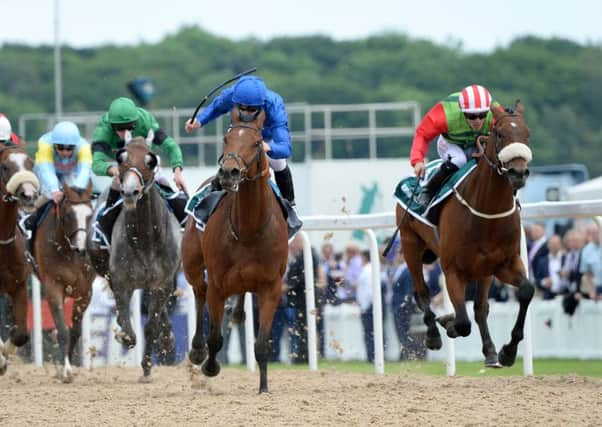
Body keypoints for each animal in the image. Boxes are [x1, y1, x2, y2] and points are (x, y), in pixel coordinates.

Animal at [33, 182, 95, 382]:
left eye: (90, 215)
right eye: (68, 215)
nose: (81, 249)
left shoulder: (85, 292)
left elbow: (75, 331)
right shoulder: (53, 287)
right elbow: (62, 330)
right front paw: (66, 370)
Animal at [86, 140, 180, 382]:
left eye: (150, 160)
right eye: (121, 158)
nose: (130, 191)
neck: (144, 239)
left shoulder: (162, 282)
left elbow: (152, 326)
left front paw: (147, 366)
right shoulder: (121, 281)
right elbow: (126, 322)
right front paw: (125, 336)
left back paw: (168, 337)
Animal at [180, 107, 288, 394]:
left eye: (257, 142)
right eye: (226, 139)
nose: (229, 172)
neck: (249, 230)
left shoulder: (271, 286)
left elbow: (261, 344)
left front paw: (264, 387)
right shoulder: (218, 285)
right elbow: (215, 337)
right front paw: (210, 366)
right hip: (192, 263)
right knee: (199, 292)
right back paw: (197, 350)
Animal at [398, 103, 528, 368]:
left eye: (527, 134)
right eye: (500, 134)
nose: (518, 172)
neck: (487, 212)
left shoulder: (503, 264)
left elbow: (525, 292)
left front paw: (506, 352)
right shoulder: (453, 271)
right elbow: (462, 322)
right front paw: (447, 323)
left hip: (483, 271)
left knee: (479, 307)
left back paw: (489, 351)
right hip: (410, 245)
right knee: (422, 292)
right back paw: (433, 335)